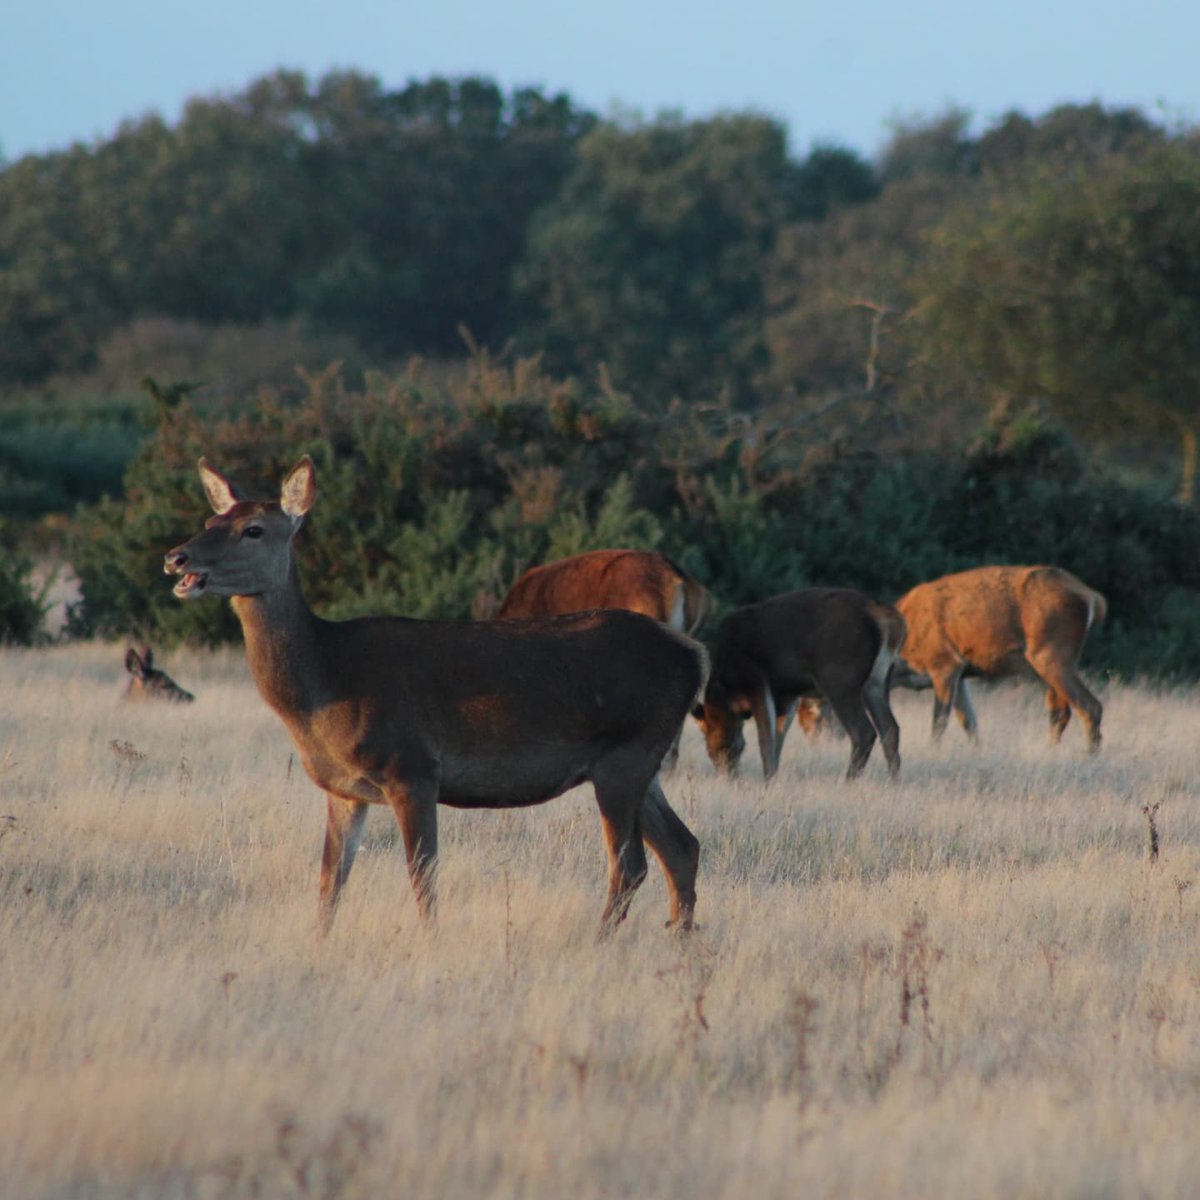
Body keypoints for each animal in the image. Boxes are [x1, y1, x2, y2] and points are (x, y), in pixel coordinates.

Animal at [692, 588, 906, 782]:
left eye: (713, 747)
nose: (728, 775)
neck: (726, 687)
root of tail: (886, 617)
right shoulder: (787, 695)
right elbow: (778, 737)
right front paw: (774, 778)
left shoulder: (756, 681)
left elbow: (765, 739)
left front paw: (768, 780)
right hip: (878, 680)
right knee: (890, 729)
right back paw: (893, 782)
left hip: (840, 678)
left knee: (864, 732)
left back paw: (848, 781)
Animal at [893, 565, 1105, 750]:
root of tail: (1094, 598)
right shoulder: (961, 675)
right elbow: (970, 723)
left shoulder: (943, 663)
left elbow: (939, 723)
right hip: (1053, 660)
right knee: (1060, 712)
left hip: (1051, 654)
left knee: (1089, 707)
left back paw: (1088, 757)